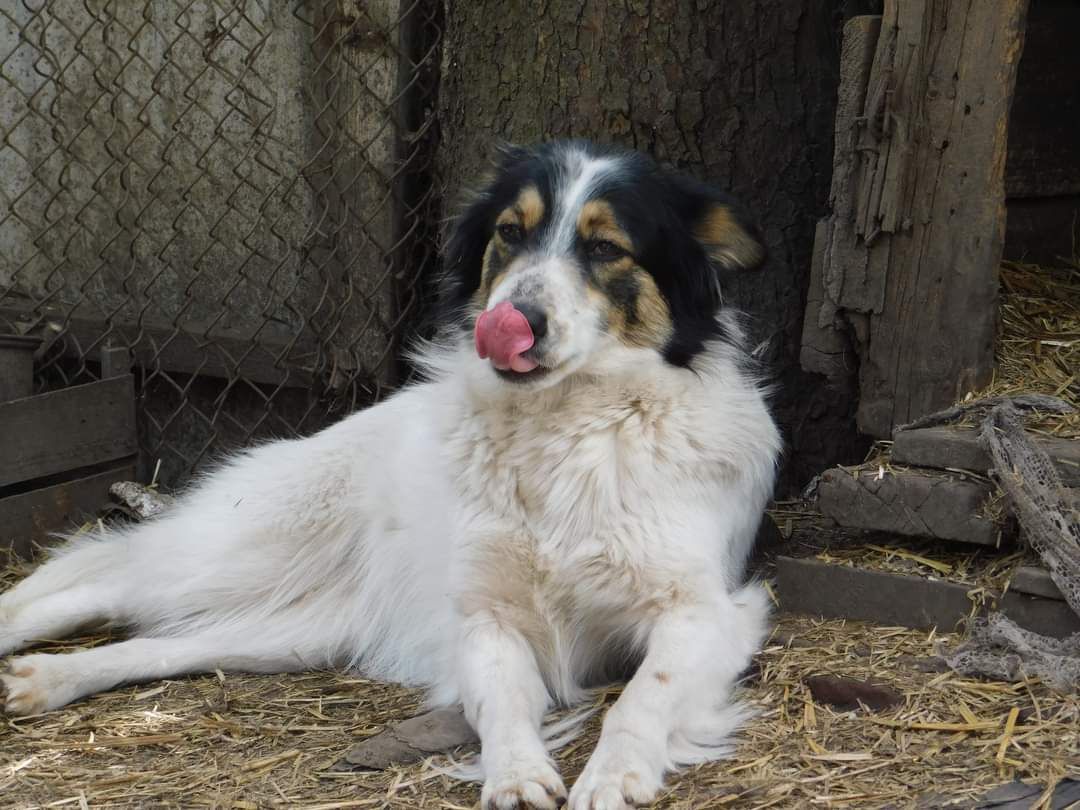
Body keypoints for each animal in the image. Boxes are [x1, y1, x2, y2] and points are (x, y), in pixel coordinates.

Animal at [0, 141, 777, 810]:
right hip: (245, 548)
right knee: (104, 571)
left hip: (297, 627)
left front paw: (613, 775)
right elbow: (502, 701)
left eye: (606, 247)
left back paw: (46, 678)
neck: (565, 425)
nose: (511, 320)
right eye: (510, 233)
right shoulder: (485, 615)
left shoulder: (708, 610)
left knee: (159, 640)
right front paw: (516, 772)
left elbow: (644, 693)